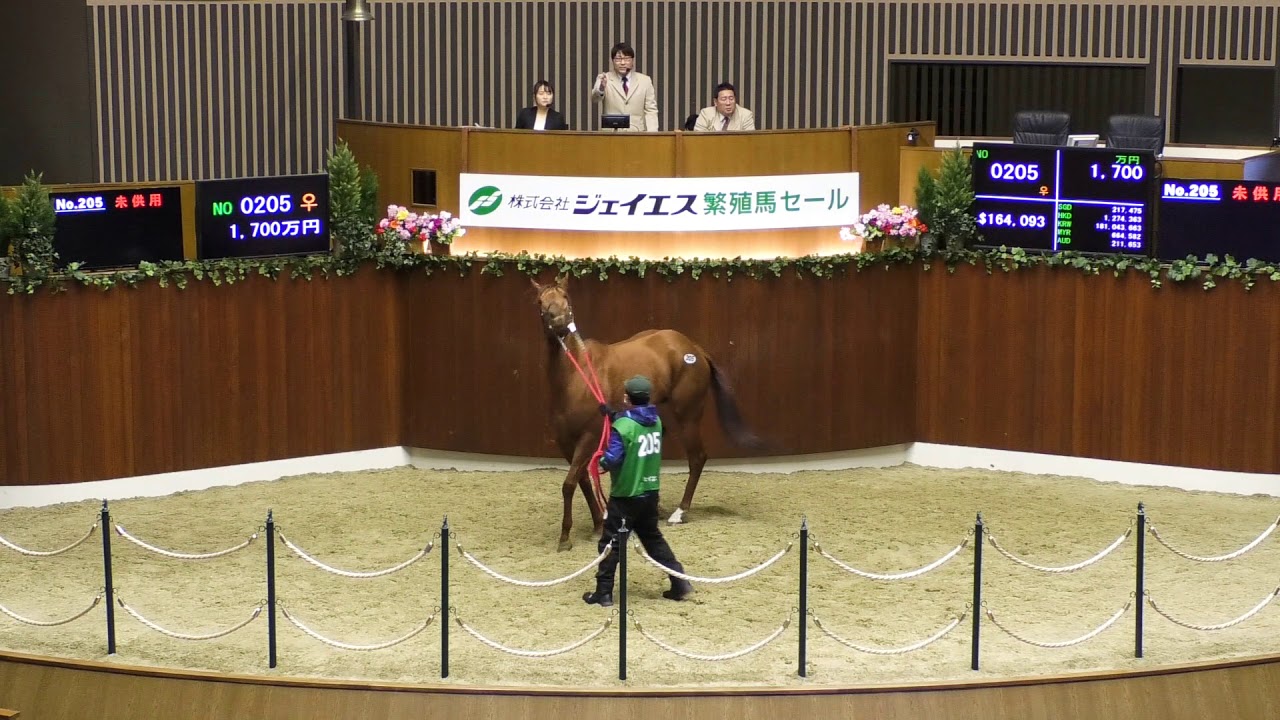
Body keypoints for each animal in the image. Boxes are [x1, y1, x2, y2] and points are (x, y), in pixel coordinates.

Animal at [531, 276, 763, 551]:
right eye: (540, 301)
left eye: (566, 296)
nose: (559, 321)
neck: (577, 376)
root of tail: (694, 348)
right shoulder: (566, 443)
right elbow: (582, 481)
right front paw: (598, 522)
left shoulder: (589, 437)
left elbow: (569, 484)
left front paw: (565, 538)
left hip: (686, 418)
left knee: (697, 458)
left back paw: (680, 512)